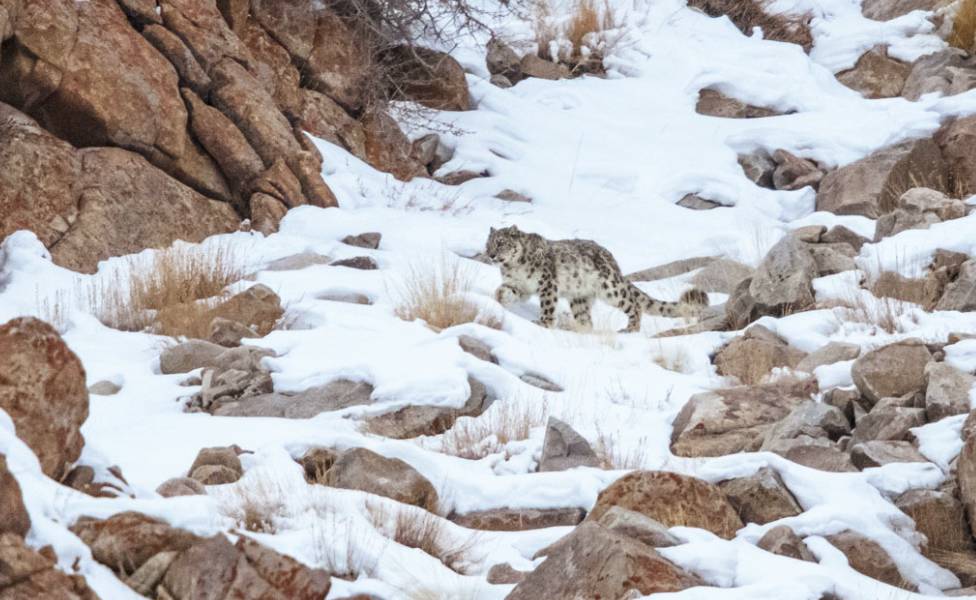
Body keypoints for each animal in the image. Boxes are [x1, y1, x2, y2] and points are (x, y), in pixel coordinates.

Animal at [482, 224, 704, 330]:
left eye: (501, 243)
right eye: (488, 244)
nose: (491, 255)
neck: (513, 267)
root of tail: (611, 258)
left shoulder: (547, 283)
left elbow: (547, 306)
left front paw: (543, 323)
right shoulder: (520, 285)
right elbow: (507, 290)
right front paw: (500, 298)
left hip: (610, 288)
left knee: (633, 303)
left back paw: (630, 328)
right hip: (579, 298)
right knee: (586, 321)